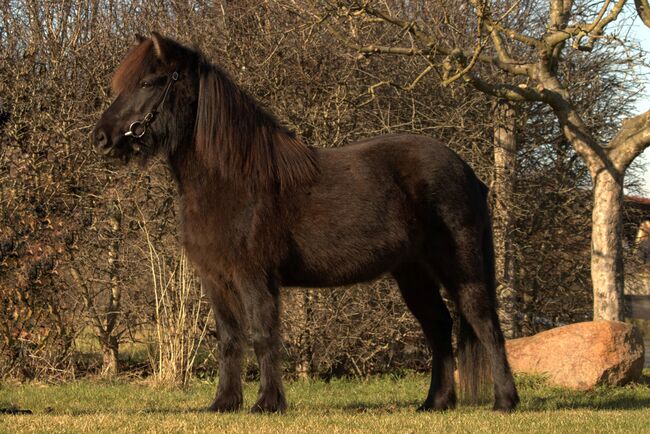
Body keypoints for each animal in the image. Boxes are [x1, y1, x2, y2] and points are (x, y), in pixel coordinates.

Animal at [92, 32, 516, 412]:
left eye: (149, 82)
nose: (101, 137)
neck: (233, 180)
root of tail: (468, 173)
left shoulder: (254, 276)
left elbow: (263, 334)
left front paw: (267, 403)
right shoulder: (216, 278)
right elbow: (229, 339)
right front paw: (224, 403)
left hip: (461, 268)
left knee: (485, 324)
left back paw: (504, 402)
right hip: (412, 272)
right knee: (439, 327)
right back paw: (434, 403)